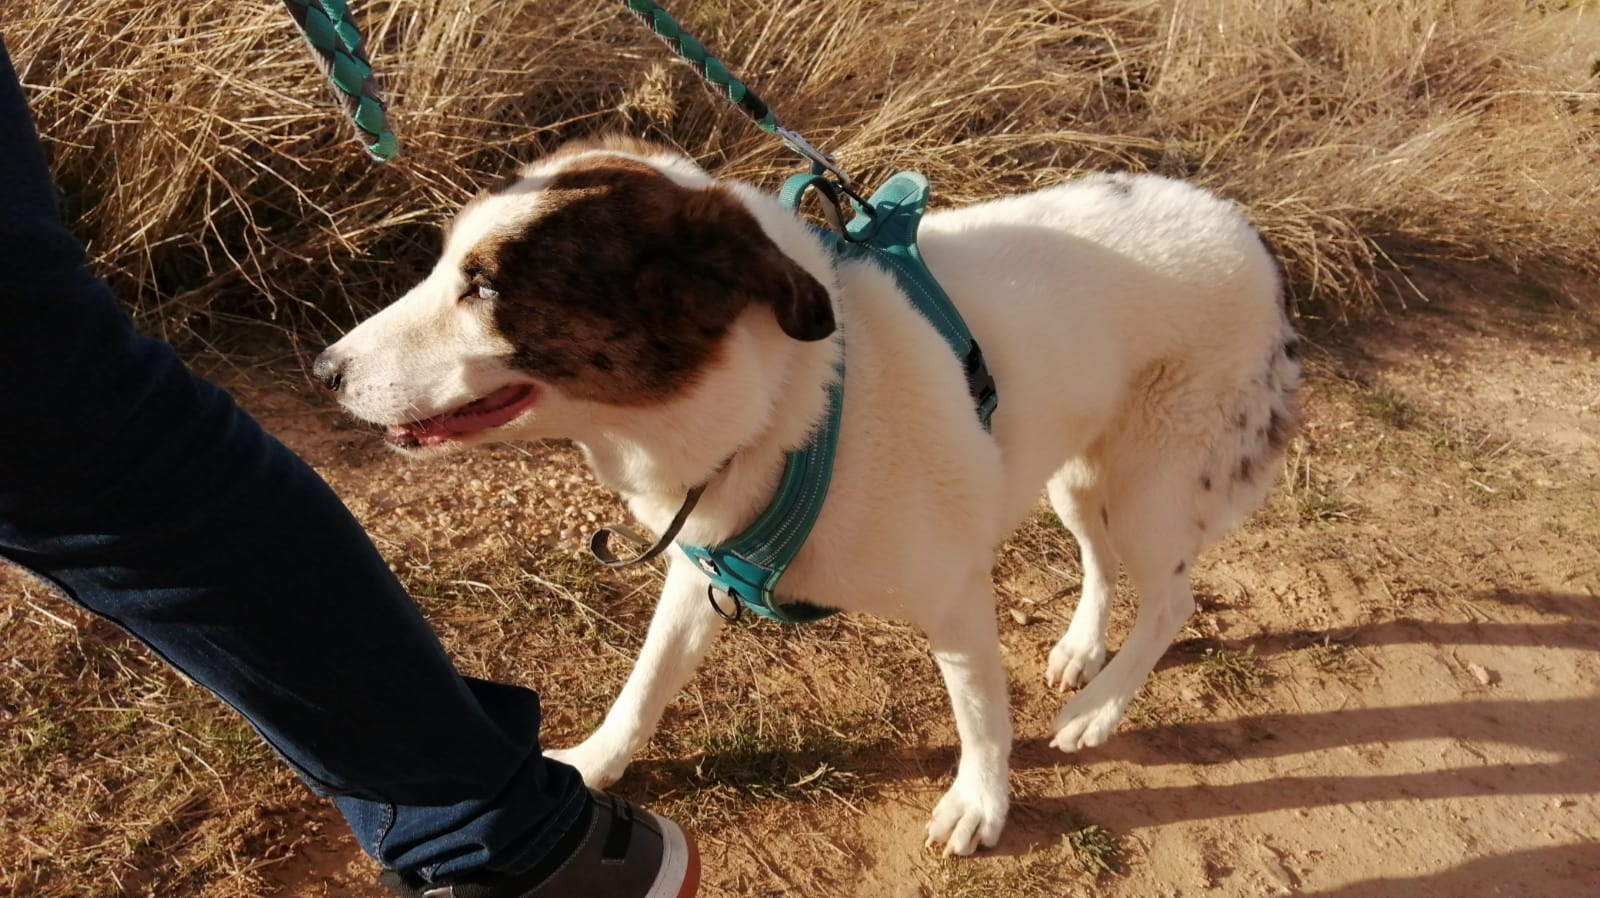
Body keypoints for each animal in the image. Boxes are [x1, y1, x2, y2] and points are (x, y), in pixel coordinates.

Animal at [316, 135, 1300, 856]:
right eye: (446, 267)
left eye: (484, 287)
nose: (326, 372)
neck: (797, 405)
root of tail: (1242, 227)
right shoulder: (701, 564)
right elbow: (646, 681)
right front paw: (596, 762)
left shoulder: (954, 594)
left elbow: (981, 713)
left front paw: (981, 803)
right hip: (1078, 472)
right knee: (1101, 560)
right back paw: (1081, 652)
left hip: (1152, 481)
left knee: (1171, 596)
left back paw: (1099, 711)